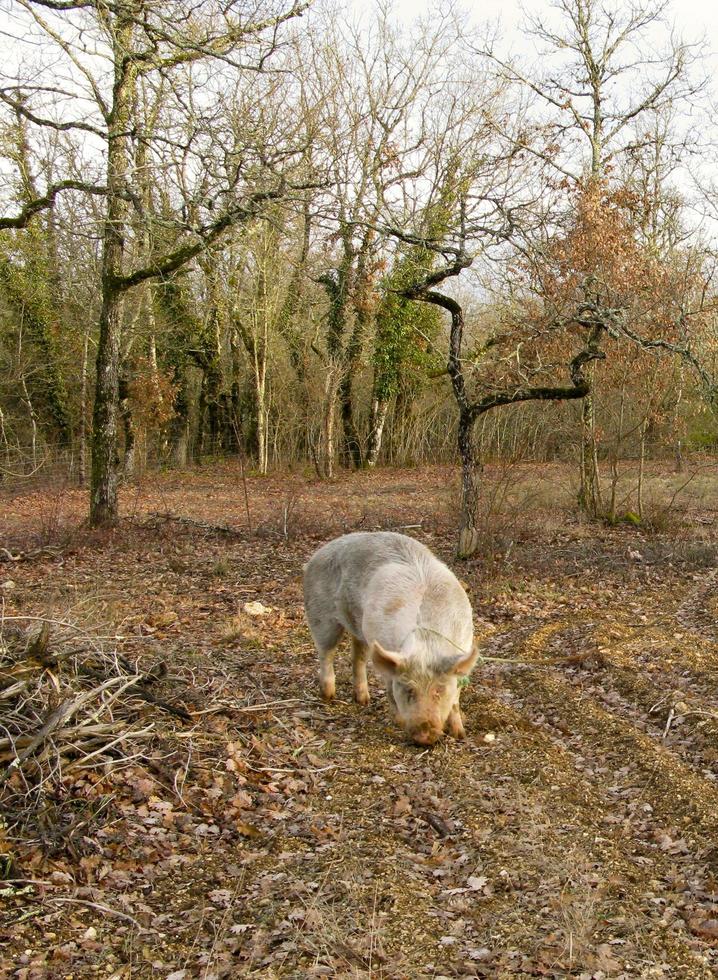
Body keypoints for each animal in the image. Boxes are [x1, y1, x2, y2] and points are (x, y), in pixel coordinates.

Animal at [300, 532, 480, 748]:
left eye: (439, 690)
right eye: (408, 690)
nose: (424, 736)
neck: (426, 645)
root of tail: (317, 554)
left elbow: (455, 700)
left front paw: (460, 734)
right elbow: (389, 689)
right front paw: (399, 722)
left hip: (360, 629)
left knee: (358, 657)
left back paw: (363, 700)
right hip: (320, 614)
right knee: (326, 653)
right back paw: (328, 696)